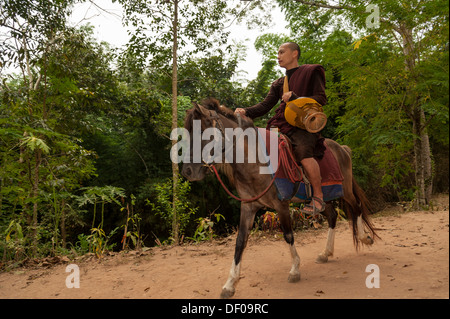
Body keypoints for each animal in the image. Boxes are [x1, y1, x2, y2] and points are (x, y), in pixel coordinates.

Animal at [179, 98, 376, 300]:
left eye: (202, 133)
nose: (187, 171)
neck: (255, 161)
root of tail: (342, 149)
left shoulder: (281, 205)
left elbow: (288, 235)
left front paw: (295, 270)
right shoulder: (248, 207)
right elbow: (240, 241)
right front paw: (230, 284)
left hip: (345, 190)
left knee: (356, 207)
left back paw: (364, 238)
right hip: (323, 198)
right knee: (332, 215)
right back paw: (326, 253)